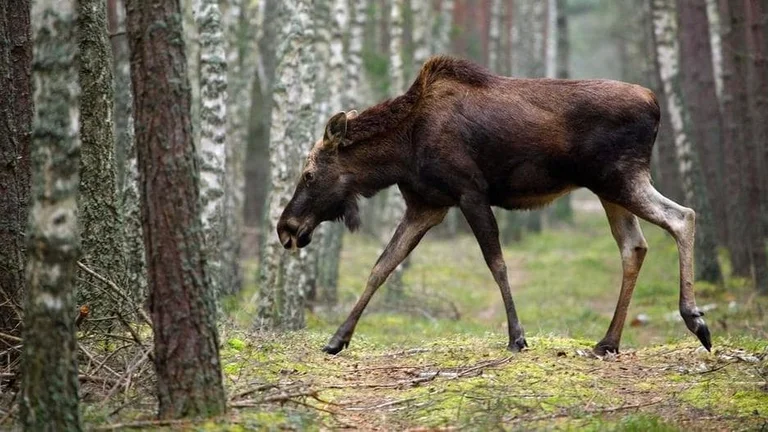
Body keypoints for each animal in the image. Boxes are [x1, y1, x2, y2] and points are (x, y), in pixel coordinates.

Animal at [276, 56, 711, 357]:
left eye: (309, 174)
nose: (286, 228)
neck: (401, 152)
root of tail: (655, 104)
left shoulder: (470, 192)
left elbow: (496, 262)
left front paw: (517, 336)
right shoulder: (426, 206)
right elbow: (382, 266)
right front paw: (337, 339)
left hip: (621, 178)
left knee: (682, 217)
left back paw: (695, 319)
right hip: (609, 188)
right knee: (634, 246)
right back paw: (608, 341)